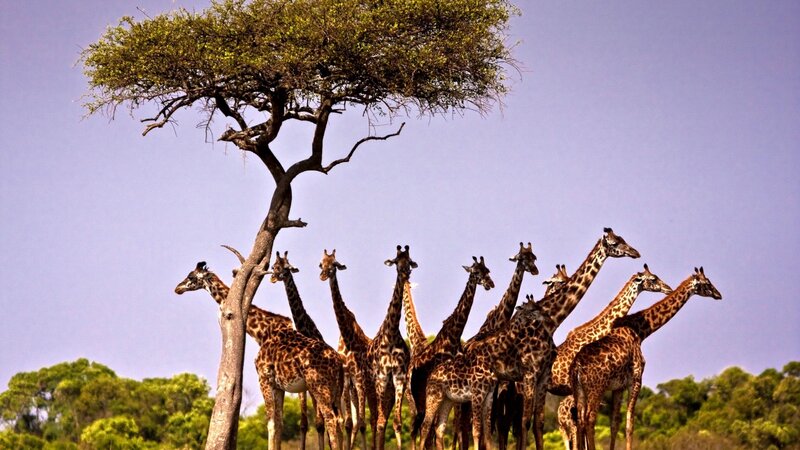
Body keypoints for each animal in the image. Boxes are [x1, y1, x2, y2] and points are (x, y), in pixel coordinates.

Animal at [174, 261, 345, 450]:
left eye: (191, 276)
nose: (177, 288)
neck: (261, 333)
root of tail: (338, 363)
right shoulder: (278, 385)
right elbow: (279, 423)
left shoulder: (264, 378)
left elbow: (271, 423)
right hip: (336, 390)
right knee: (340, 420)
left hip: (319, 387)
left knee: (331, 420)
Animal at [270, 251, 352, 450]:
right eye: (274, 266)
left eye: (285, 267)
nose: (273, 277)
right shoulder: (303, 387)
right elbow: (305, 423)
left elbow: (320, 423)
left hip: (343, 392)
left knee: (346, 422)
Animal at [319, 249, 372, 450]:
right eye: (321, 263)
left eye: (334, 264)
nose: (323, 275)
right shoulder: (348, 379)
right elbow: (349, 422)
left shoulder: (360, 377)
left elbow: (362, 423)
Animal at [407, 255, 497, 449]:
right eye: (476, 271)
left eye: (488, 270)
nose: (490, 284)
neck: (453, 338)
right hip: (417, 397)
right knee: (418, 426)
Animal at [571, 267, 722, 450]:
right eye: (707, 283)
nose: (719, 294)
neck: (640, 332)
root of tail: (577, 366)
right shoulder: (636, 379)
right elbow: (630, 423)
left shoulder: (618, 386)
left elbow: (614, 423)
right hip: (596, 388)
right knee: (589, 419)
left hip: (579, 390)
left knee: (580, 420)